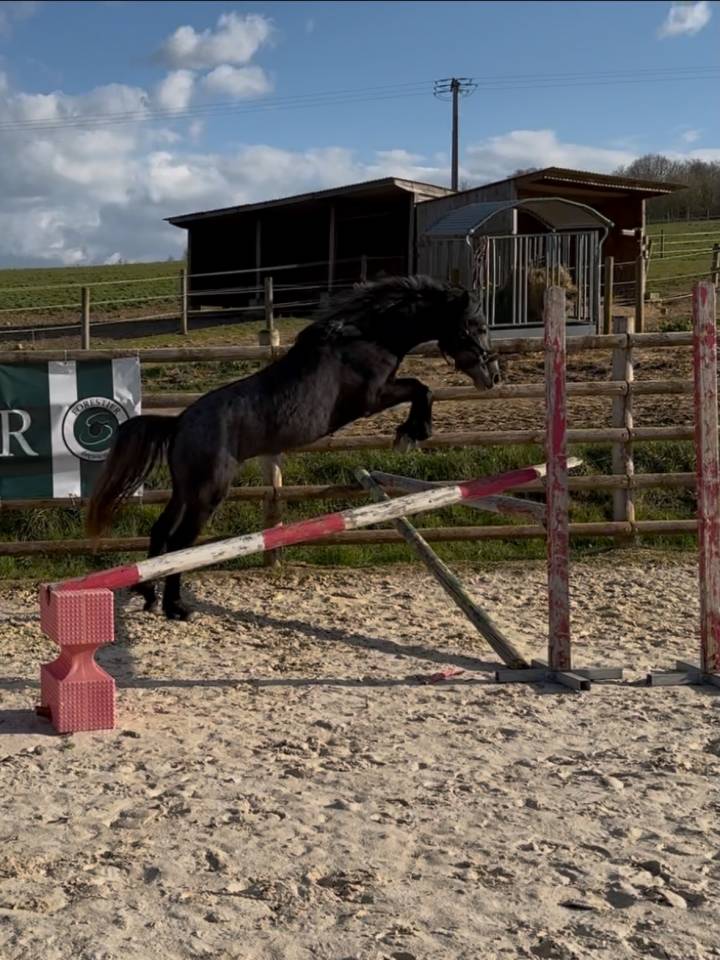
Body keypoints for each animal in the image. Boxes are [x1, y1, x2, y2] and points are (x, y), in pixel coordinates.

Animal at [86, 275, 502, 620]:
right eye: (477, 326)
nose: (493, 376)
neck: (368, 336)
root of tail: (179, 423)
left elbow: (421, 388)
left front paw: (411, 433)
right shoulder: (371, 398)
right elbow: (421, 388)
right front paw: (413, 432)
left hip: (185, 490)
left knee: (161, 533)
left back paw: (148, 594)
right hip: (207, 492)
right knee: (180, 543)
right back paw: (175, 607)